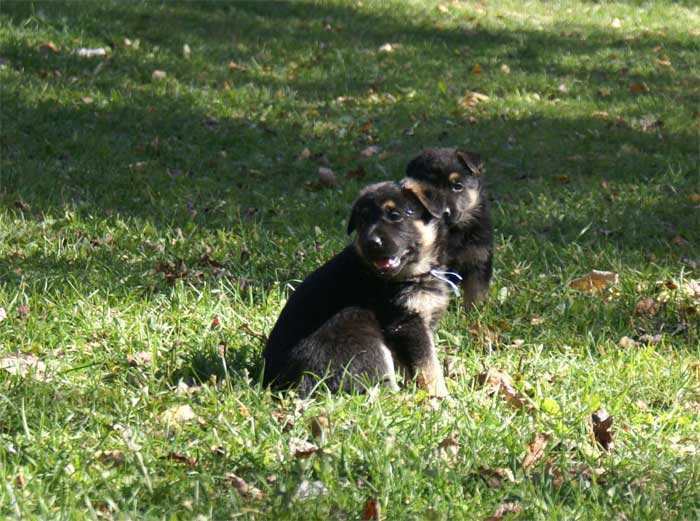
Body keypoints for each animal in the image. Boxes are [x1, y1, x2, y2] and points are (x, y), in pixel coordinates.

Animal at [262, 181, 448, 396]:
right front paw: (441, 397)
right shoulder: (407, 324)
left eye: (395, 215)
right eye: (363, 220)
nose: (371, 243)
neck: (412, 274)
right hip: (357, 330)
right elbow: (429, 367)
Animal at [402, 146, 494, 308]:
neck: (453, 232)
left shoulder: (479, 259)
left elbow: (475, 294)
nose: (444, 213)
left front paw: (474, 312)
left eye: (457, 186)